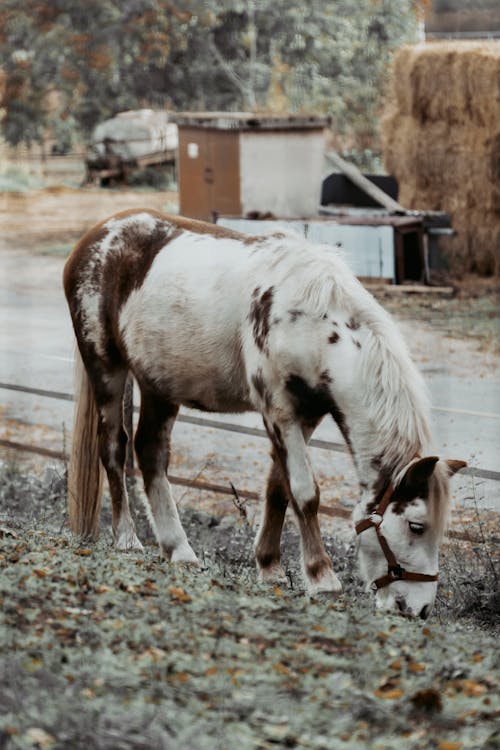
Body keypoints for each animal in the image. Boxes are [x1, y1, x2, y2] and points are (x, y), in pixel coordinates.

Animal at [64, 209, 466, 620]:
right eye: (416, 526)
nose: (419, 609)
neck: (313, 324)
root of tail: (97, 236)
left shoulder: (305, 416)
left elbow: (278, 489)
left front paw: (270, 566)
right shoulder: (279, 412)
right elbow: (304, 493)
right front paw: (322, 577)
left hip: (159, 386)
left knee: (150, 455)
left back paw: (179, 550)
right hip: (107, 367)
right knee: (114, 448)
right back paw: (127, 538)